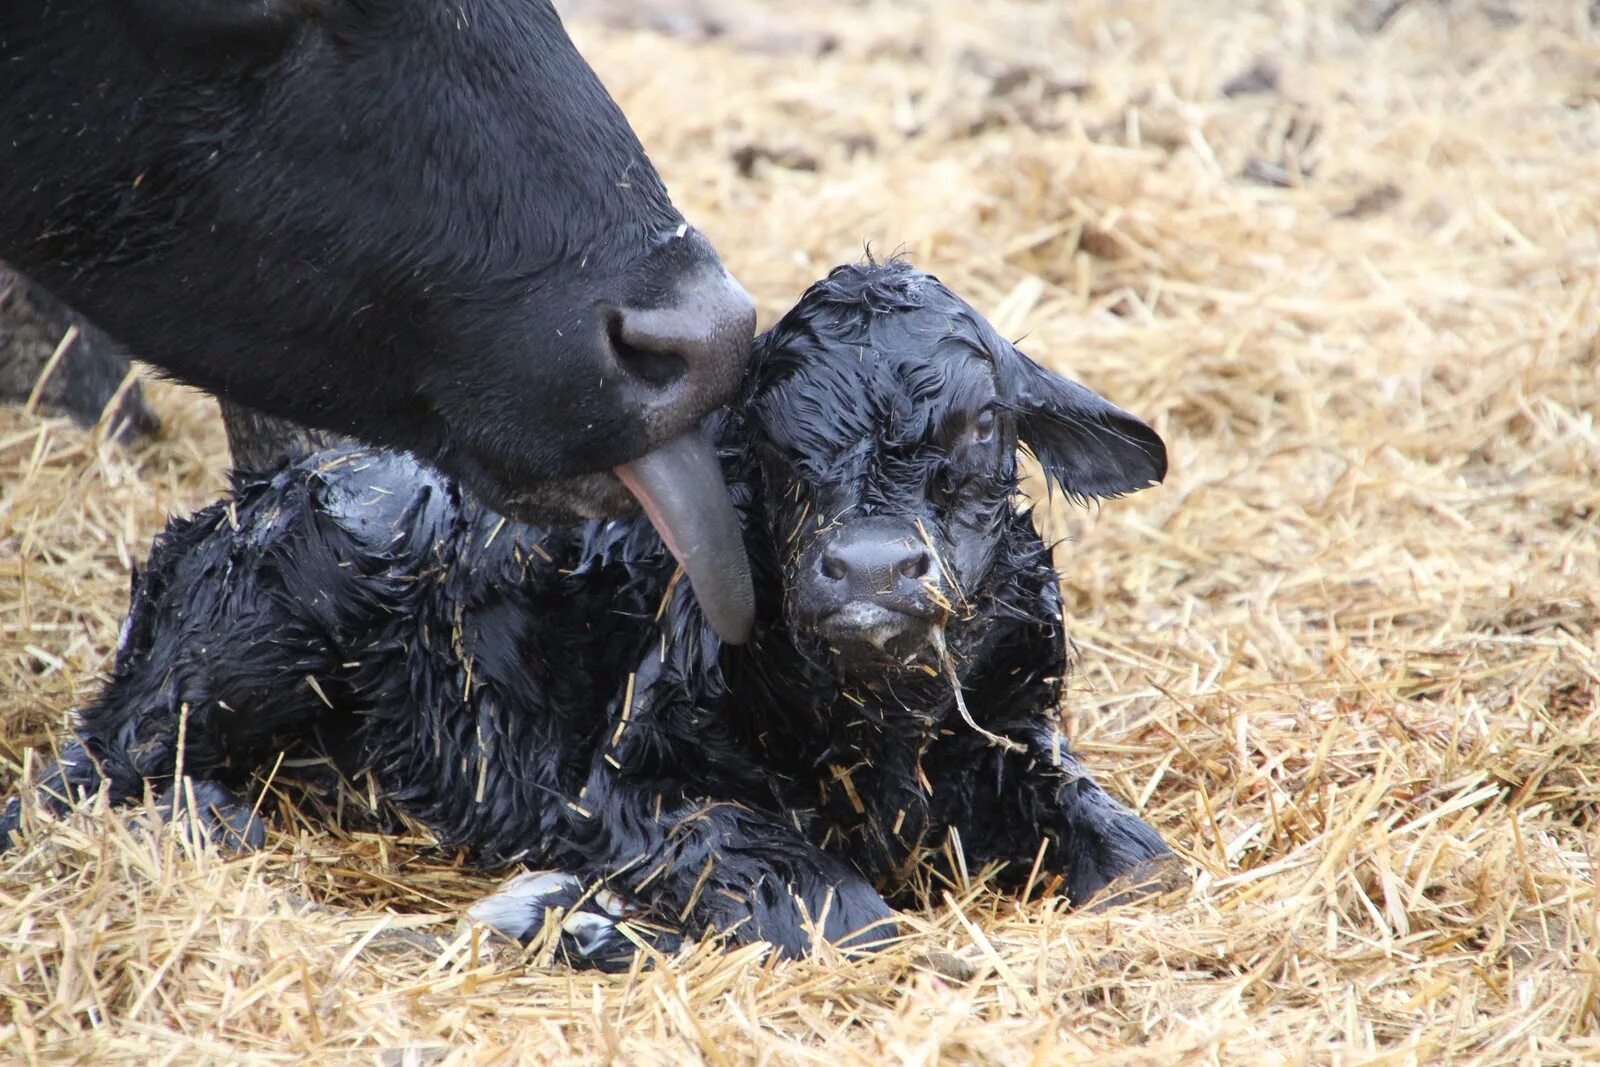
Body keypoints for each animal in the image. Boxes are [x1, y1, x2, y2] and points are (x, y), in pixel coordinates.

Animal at [0, 260, 1177, 966]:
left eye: (983, 425)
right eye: (769, 434)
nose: (874, 570)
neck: (878, 728)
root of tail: (259, 493)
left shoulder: (1021, 736)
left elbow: (1144, 863)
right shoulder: (629, 783)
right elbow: (847, 916)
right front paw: (571, 915)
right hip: (244, 644)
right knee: (77, 780)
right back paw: (217, 819)